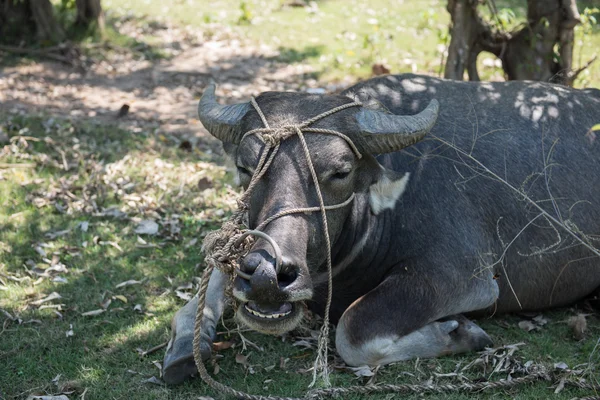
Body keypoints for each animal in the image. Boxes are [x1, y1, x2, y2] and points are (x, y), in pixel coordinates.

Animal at [162, 73, 600, 382]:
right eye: (245, 166)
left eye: (340, 171)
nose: (268, 277)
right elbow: (209, 283)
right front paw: (185, 348)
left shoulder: (461, 276)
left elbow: (353, 331)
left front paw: (459, 333)